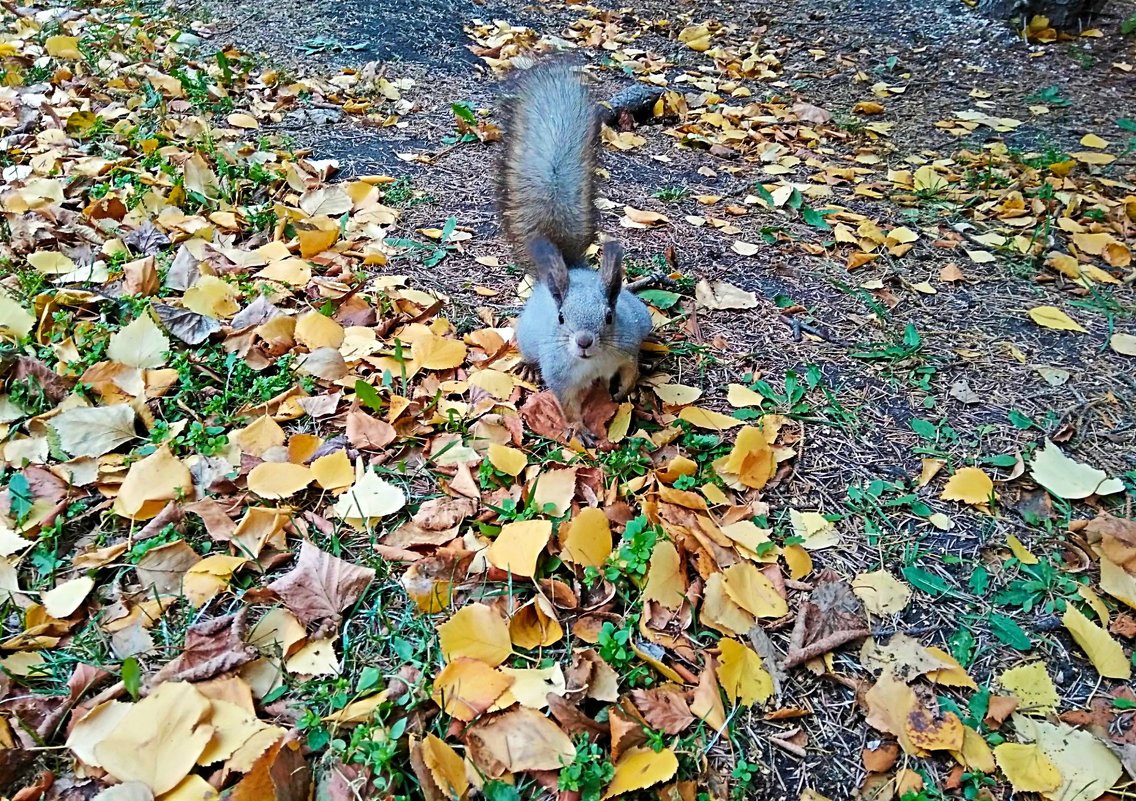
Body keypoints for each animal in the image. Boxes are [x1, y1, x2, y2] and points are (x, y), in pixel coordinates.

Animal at [502, 61, 654, 436]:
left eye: (609, 316)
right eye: (561, 318)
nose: (584, 341)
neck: (593, 364)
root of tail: (571, 269)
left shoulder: (626, 348)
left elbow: (631, 369)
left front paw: (624, 392)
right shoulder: (559, 375)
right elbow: (566, 404)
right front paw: (577, 428)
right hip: (526, 335)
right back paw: (527, 366)